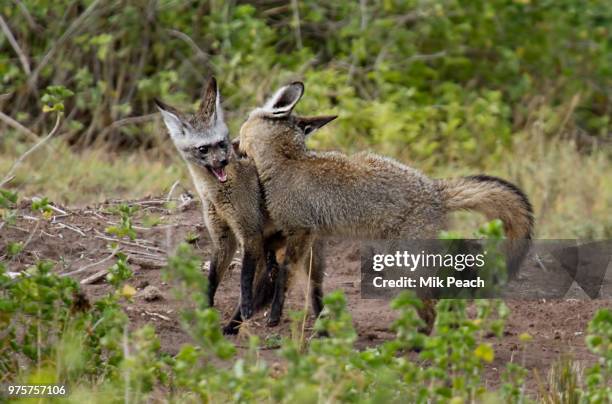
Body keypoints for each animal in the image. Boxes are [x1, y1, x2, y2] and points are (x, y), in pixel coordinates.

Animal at [155, 78, 332, 332]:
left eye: (221, 143)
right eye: (203, 149)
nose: (223, 161)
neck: (219, 196)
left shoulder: (249, 233)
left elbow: (243, 280)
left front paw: (244, 309)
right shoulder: (224, 239)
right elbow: (212, 278)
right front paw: (206, 307)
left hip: (303, 257)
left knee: (312, 292)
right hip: (271, 248)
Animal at [240, 80, 536, 324]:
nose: (231, 144)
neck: (286, 162)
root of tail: (435, 189)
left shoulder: (300, 230)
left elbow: (285, 276)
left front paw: (274, 315)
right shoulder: (316, 236)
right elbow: (315, 284)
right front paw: (321, 318)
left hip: (403, 265)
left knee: (431, 307)